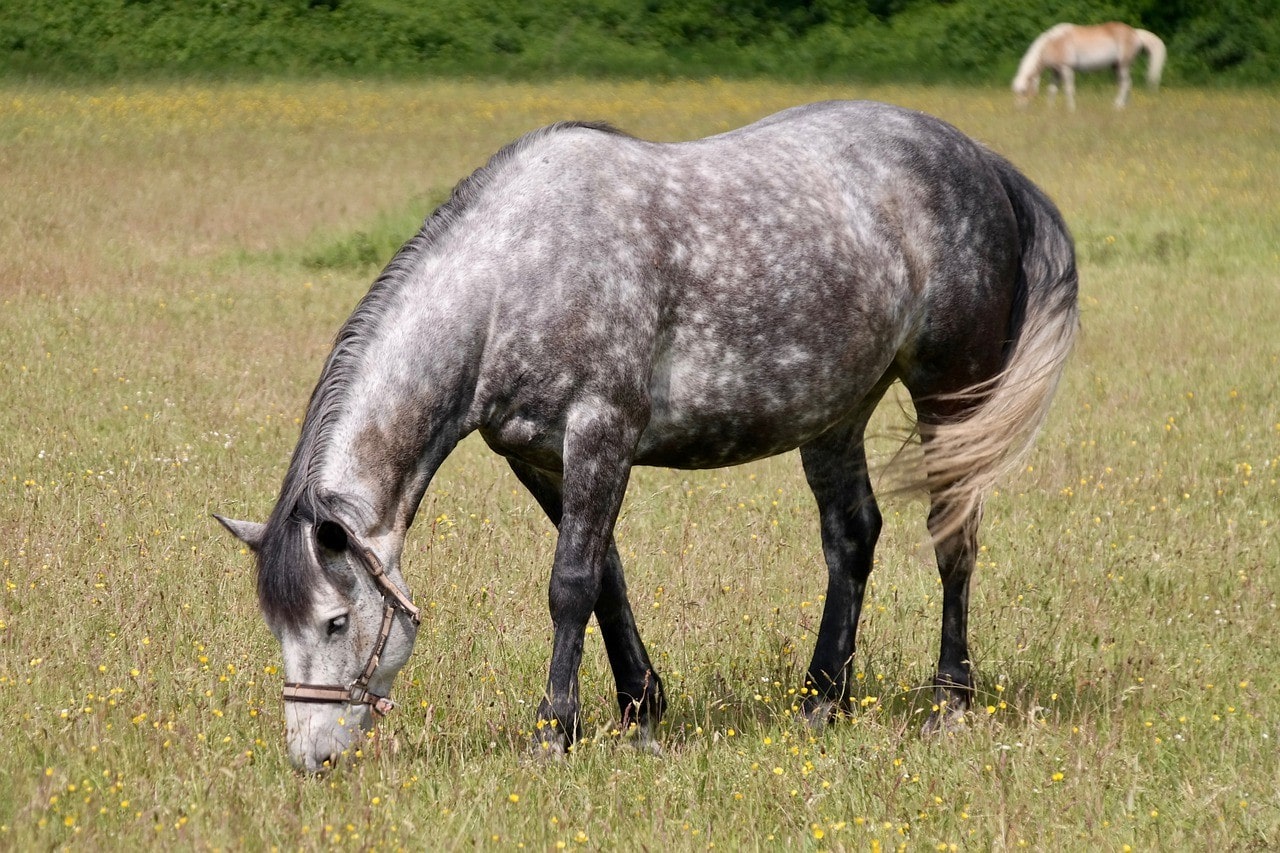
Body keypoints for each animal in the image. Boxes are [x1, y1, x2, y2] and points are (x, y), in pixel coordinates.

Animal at [215, 99, 1075, 768]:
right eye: (277, 624)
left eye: (335, 620)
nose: (310, 757)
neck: (514, 277)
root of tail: (985, 164)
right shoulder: (539, 456)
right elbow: (606, 577)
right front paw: (640, 709)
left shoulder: (602, 431)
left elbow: (569, 583)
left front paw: (554, 732)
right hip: (836, 414)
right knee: (852, 537)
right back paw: (822, 699)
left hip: (950, 396)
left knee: (953, 536)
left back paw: (949, 700)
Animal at [1013, 21, 1167, 109]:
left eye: (1023, 91)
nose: (1020, 109)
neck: (1054, 43)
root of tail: (1135, 33)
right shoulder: (1056, 71)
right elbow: (1052, 90)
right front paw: (1049, 109)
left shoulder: (1067, 69)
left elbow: (1069, 90)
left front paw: (1071, 110)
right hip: (1117, 67)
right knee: (1126, 84)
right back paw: (1124, 107)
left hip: (1123, 66)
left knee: (1125, 84)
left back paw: (1117, 105)